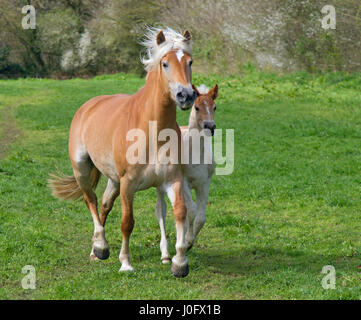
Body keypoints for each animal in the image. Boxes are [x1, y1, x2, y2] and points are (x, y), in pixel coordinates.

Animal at [49, 27, 195, 278]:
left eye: (190, 62)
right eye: (165, 63)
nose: (185, 95)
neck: (152, 131)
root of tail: (88, 106)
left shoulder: (172, 179)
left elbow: (180, 212)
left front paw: (179, 263)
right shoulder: (128, 184)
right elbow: (127, 222)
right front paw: (125, 263)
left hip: (114, 180)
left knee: (105, 205)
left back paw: (95, 250)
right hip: (82, 170)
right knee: (91, 200)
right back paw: (100, 247)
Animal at [154, 84, 217, 264]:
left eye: (214, 107)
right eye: (197, 107)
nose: (210, 126)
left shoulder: (204, 184)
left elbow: (200, 217)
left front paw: (188, 243)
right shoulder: (184, 183)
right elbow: (192, 210)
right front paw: (187, 242)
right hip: (160, 185)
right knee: (160, 209)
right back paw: (165, 254)